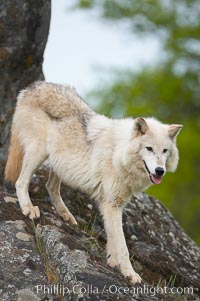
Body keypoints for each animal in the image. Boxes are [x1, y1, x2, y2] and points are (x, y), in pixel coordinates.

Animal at [4, 81, 183, 282]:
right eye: (149, 149)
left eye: (165, 151)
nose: (160, 171)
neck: (118, 153)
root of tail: (32, 87)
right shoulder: (112, 205)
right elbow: (123, 246)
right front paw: (130, 273)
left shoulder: (111, 204)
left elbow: (112, 237)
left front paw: (112, 262)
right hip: (38, 153)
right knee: (20, 182)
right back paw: (29, 208)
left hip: (59, 164)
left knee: (50, 187)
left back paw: (66, 215)